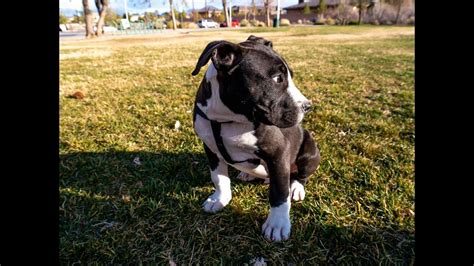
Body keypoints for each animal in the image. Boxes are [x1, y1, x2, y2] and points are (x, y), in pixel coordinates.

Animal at [191, 35, 320, 243]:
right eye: (277, 79)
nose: (307, 106)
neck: (228, 117)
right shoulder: (210, 148)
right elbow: (218, 177)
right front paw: (220, 199)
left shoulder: (278, 153)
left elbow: (279, 192)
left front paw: (277, 224)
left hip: (310, 152)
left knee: (301, 175)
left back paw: (296, 187)